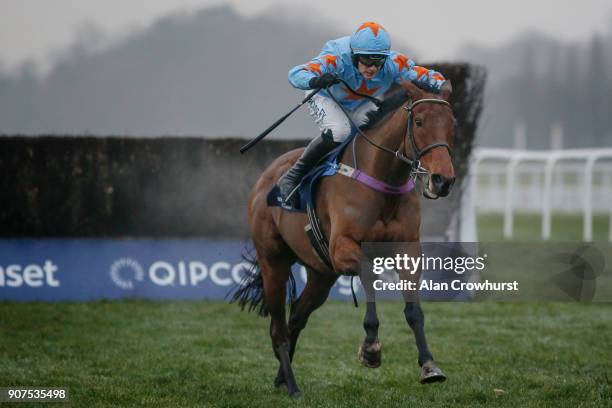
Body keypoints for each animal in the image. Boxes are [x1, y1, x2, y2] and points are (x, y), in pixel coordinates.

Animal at [234, 79, 454, 396]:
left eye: (452, 124)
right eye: (420, 122)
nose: (442, 180)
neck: (383, 181)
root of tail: (265, 178)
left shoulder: (409, 250)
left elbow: (414, 310)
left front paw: (429, 365)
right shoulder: (342, 248)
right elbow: (369, 277)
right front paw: (371, 348)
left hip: (321, 275)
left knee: (296, 317)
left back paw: (281, 378)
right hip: (273, 264)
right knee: (278, 328)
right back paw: (292, 386)